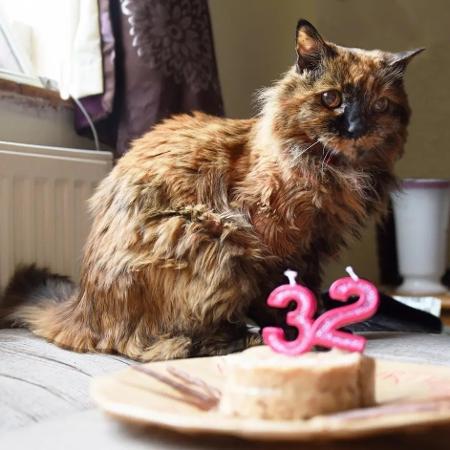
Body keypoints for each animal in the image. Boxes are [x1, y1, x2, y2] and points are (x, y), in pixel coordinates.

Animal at [0, 19, 422, 360]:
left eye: (379, 106)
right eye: (331, 98)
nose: (355, 127)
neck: (334, 171)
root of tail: (82, 306)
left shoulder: (313, 249)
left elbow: (308, 293)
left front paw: (322, 324)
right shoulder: (271, 241)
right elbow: (278, 297)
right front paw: (295, 332)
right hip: (214, 234)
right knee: (154, 346)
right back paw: (242, 337)